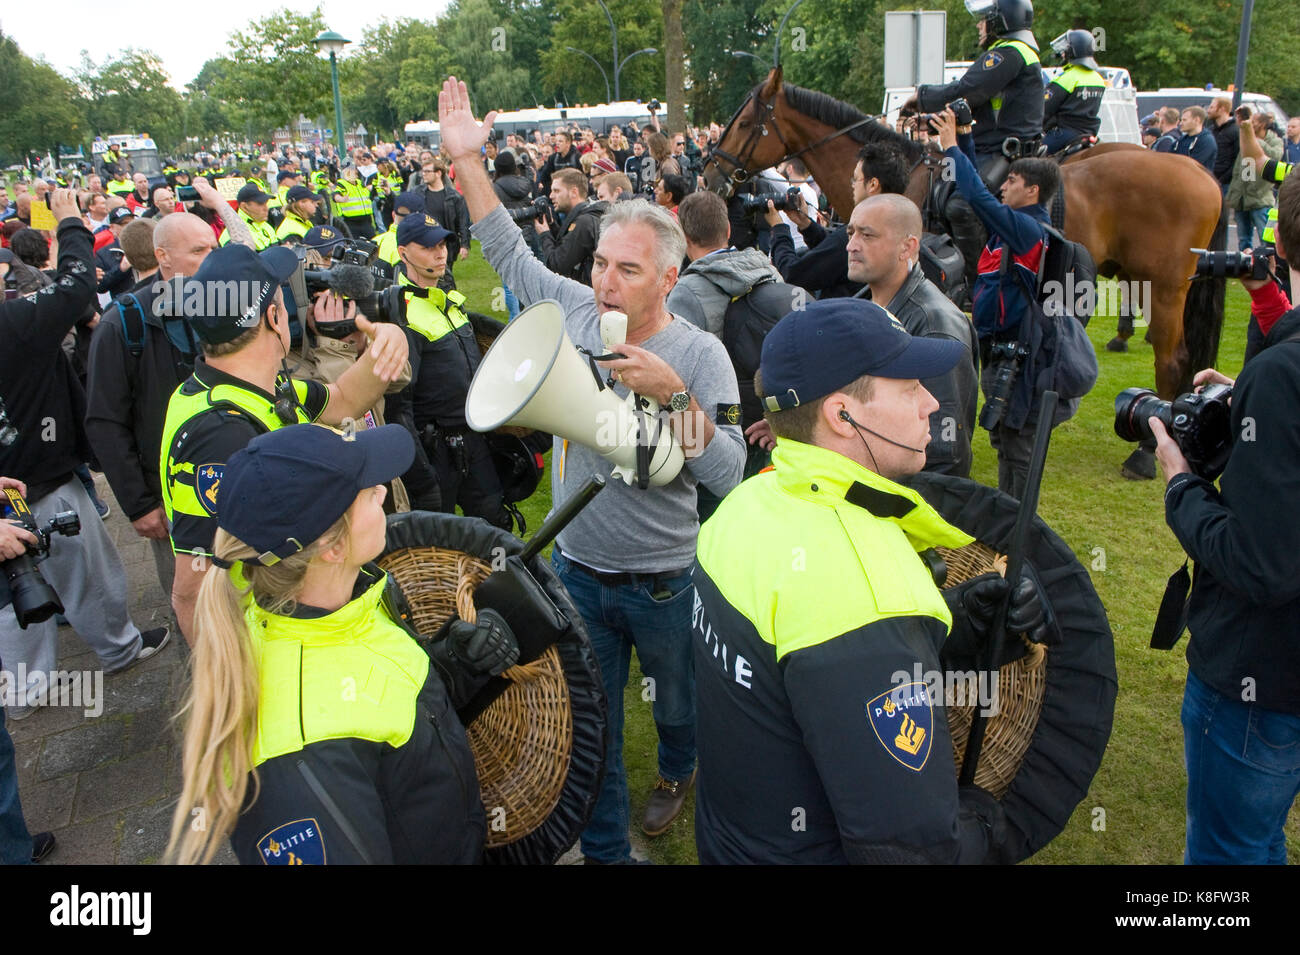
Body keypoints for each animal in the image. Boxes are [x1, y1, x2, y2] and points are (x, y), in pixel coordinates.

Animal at [707, 67, 1222, 478]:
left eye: (747, 122)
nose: (711, 175)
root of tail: (1202, 173)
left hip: (1164, 285)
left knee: (1171, 357)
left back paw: (1148, 448)